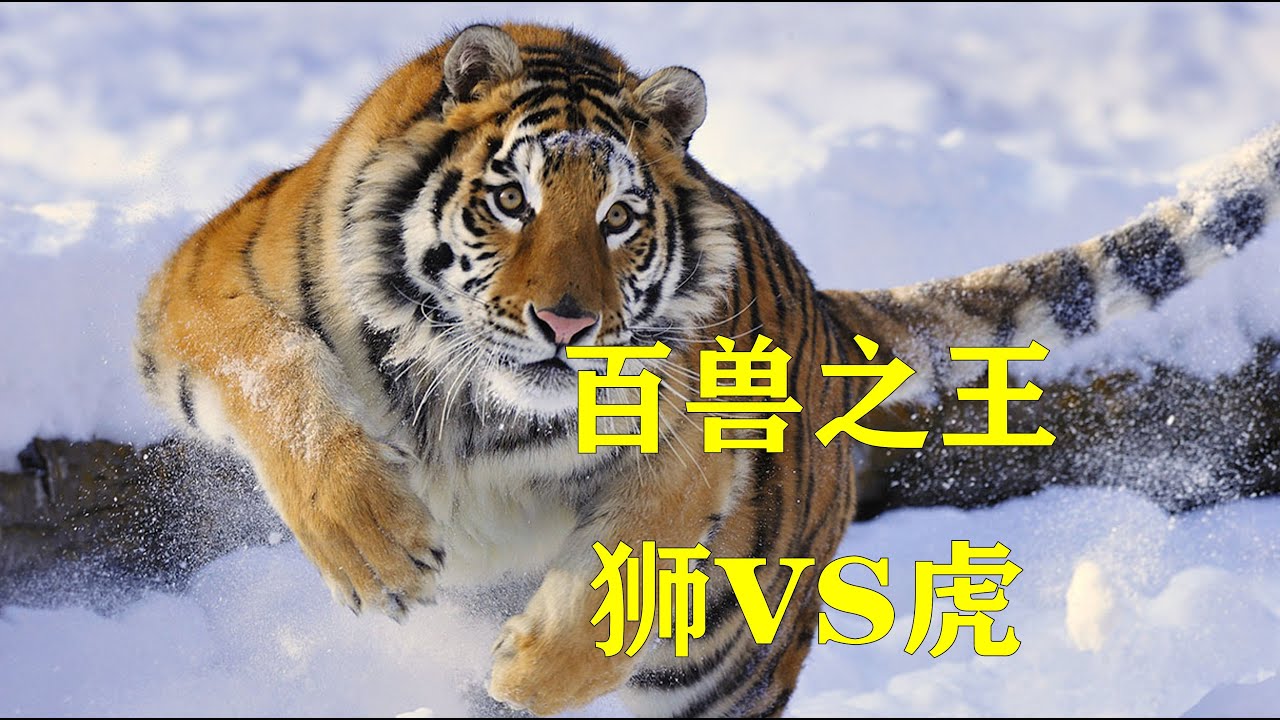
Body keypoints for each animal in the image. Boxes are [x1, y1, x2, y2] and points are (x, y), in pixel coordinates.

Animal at [134, 22, 1280, 717]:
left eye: (619, 219)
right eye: (511, 201)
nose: (566, 321)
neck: (474, 399)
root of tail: (826, 306)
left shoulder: (688, 448)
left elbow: (616, 593)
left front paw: (520, 677)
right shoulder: (201, 286)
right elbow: (279, 381)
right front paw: (373, 548)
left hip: (735, 663)